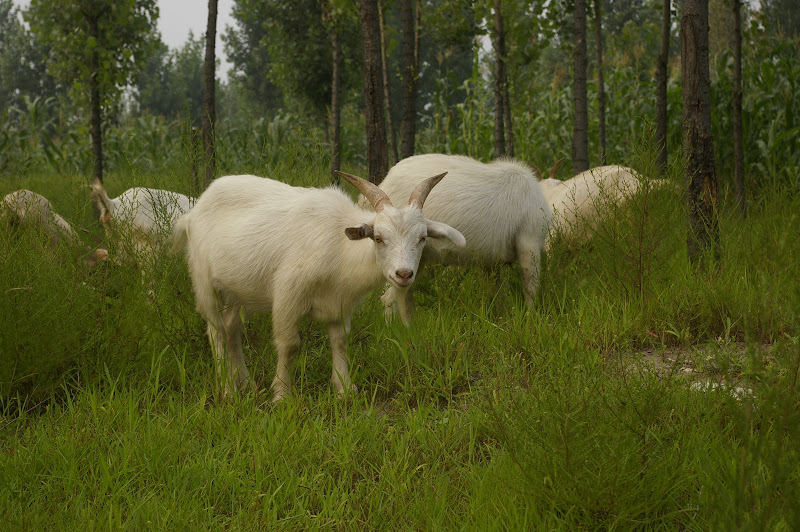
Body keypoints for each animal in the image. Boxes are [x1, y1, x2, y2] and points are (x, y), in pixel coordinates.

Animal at [171, 171, 465, 402]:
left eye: (422, 237)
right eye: (379, 238)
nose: (403, 274)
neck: (341, 249)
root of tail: (193, 212)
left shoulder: (340, 303)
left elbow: (340, 341)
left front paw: (345, 388)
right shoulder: (288, 294)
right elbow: (290, 345)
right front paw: (281, 394)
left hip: (235, 290)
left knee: (232, 329)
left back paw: (246, 384)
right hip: (205, 282)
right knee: (216, 332)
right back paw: (228, 390)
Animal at [362, 154, 552, 323]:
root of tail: (385, 181)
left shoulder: (491, 262)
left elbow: (496, 294)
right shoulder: (529, 243)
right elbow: (530, 288)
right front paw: (531, 321)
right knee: (389, 298)